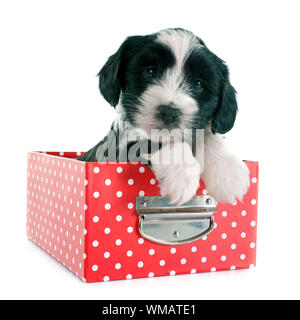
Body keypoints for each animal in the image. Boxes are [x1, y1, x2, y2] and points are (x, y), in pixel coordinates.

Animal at [78, 28, 250, 205]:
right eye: (150, 72)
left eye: (198, 84)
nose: (169, 112)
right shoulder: (116, 153)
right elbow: (153, 142)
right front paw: (182, 174)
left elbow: (209, 137)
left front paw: (230, 174)